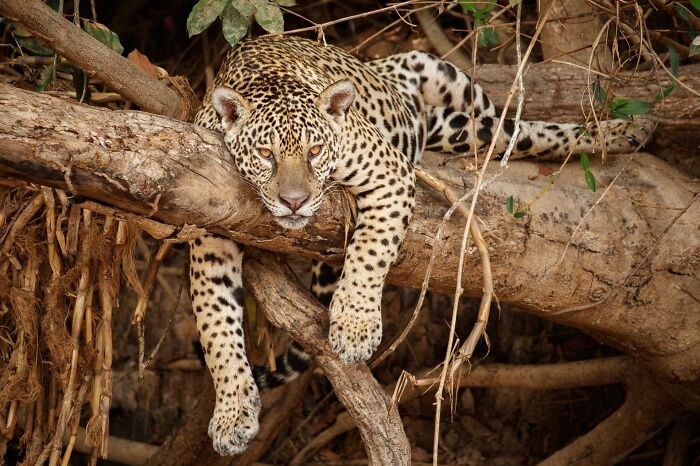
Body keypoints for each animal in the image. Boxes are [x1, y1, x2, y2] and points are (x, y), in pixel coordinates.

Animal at [188, 35, 654, 455]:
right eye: (265, 154)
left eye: (315, 150)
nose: (294, 201)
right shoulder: (209, 229)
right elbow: (215, 325)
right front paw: (231, 415)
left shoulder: (389, 171)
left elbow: (370, 251)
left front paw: (355, 327)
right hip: (455, 126)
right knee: (503, 133)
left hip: (446, 77)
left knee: (518, 127)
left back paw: (627, 129)